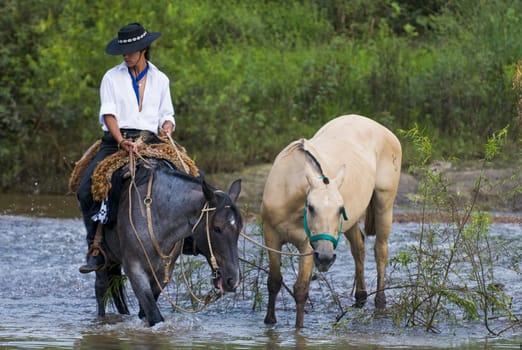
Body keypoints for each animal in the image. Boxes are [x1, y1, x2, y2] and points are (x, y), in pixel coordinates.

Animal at [94, 158, 241, 326]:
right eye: (216, 228)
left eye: (239, 229)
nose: (233, 280)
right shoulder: (134, 269)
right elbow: (154, 315)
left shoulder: (163, 272)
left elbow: (145, 311)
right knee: (101, 288)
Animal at [262, 115, 400, 328]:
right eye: (311, 207)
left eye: (339, 210)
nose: (326, 258)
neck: (286, 190)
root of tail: (383, 130)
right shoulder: (271, 237)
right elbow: (274, 281)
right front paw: (270, 321)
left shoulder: (307, 246)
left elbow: (301, 289)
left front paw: (299, 328)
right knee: (358, 247)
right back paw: (360, 298)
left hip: (384, 203)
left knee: (380, 251)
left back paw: (380, 302)